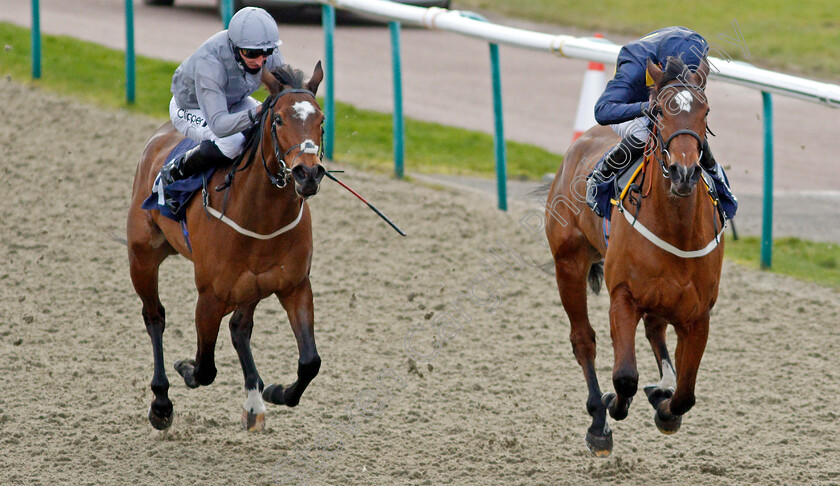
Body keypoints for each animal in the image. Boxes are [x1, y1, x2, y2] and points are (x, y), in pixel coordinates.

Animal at [126, 62, 326, 430]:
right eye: (278, 120)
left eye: (320, 120)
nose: (308, 174)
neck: (262, 218)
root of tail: (161, 135)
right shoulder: (210, 297)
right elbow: (205, 368)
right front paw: (185, 369)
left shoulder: (294, 286)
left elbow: (310, 362)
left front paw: (275, 392)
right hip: (142, 255)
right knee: (154, 316)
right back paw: (161, 402)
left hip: (253, 286)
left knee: (239, 328)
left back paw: (254, 401)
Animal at [544, 58, 720, 458]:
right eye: (659, 111)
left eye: (704, 111)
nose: (684, 172)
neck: (675, 230)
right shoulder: (623, 296)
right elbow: (625, 377)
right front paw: (612, 406)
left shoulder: (698, 314)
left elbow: (685, 395)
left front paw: (665, 406)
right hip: (568, 263)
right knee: (583, 340)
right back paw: (599, 420)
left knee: (656, 330)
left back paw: (659, 389)